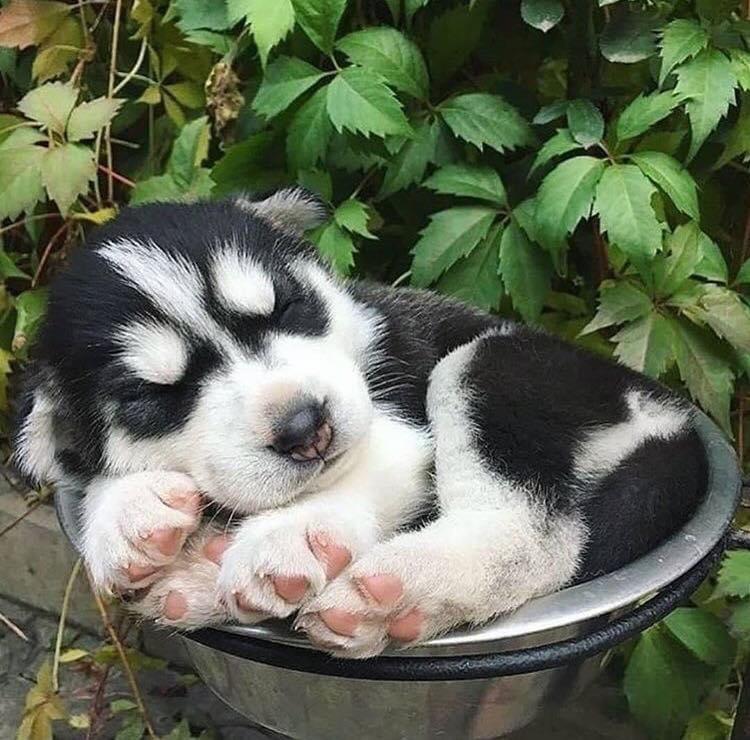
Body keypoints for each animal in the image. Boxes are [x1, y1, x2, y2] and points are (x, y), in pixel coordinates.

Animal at [12, 189, 706, 658]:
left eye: (288, 307)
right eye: (152, 396)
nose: (303, 428)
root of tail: (669, 412)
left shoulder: (400, 408)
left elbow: (367, 468)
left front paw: (294, 534)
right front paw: (126, 515)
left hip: (488, 365)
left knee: (537, 538)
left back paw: (400, 591)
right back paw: (200, 577)